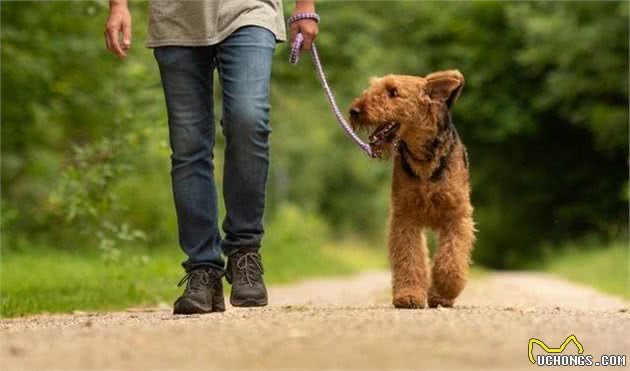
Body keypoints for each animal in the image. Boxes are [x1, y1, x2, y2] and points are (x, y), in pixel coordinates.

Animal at [348, 71, 476, 310]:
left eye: (393, 92)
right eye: (372, 88)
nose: (355, 110)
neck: (423, 158)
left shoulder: (457, 215)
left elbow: (450, 261)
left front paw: (444, 290)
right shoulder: (405, 216)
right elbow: (409, 257)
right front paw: (408, 296)